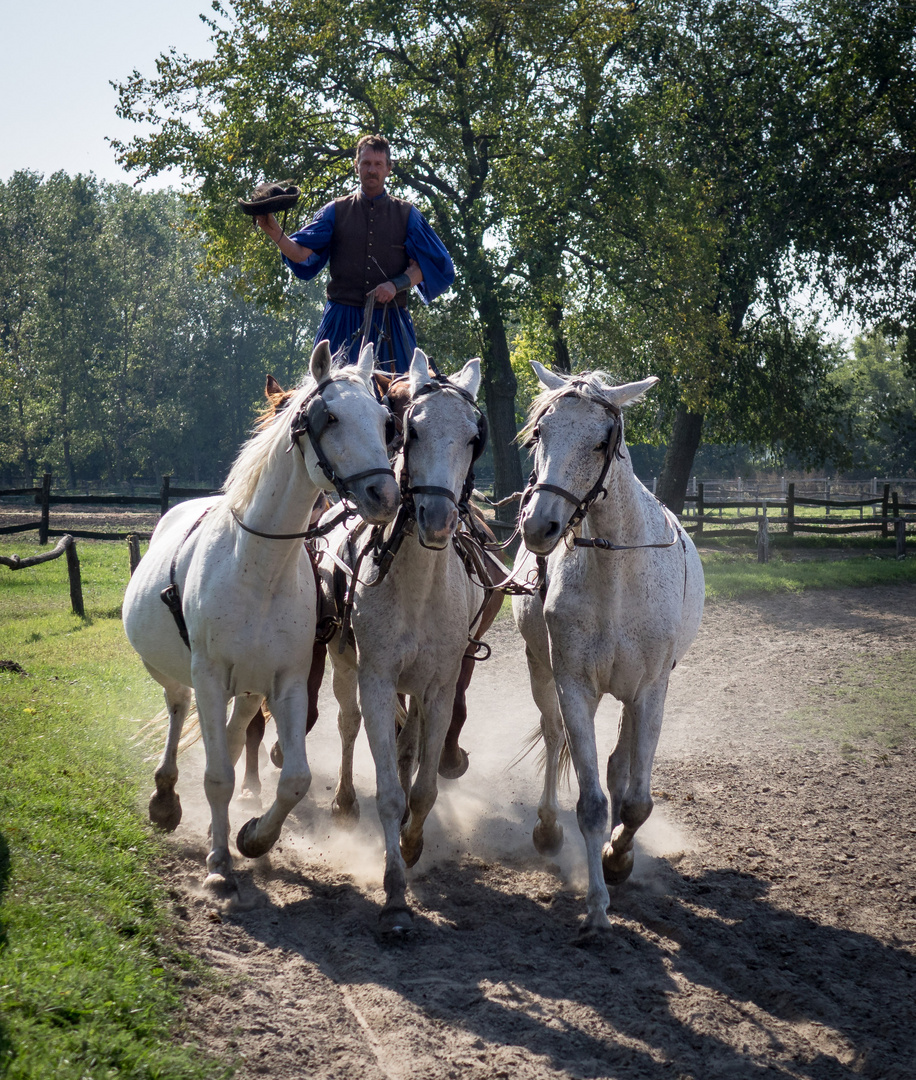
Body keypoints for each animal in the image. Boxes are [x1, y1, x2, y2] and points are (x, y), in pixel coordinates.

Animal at [121, 341, 397, 889]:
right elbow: (217, 776)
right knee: (179, 709)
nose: (386, 495)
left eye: (384, 420)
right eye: (330, 417)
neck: (258, 570)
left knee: (232, 735)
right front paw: (217, 865)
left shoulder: (287, 681)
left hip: (248, 688)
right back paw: (165, 799)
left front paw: (253, 838)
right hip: (177, 675)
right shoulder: (209, 676)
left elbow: (293, 779)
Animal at [319, 347, 490, 937]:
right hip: (344, 663)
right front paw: (394, 892)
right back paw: (346, 801)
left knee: (411, 744)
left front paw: (413, 846)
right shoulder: (376, 679)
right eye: (410, 430)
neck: (416, 589)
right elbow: (391, 793)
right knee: (348, 725)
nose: (436, 517)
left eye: (473, 438)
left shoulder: (438, 686)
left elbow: (423, 786)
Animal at [512, 365, 704, 937]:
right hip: (542, 673)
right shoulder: (574, 685)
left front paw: (619, 859)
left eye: (601, 442)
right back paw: (547, 830)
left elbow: (635, 799)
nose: (539, 526)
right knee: (555, 737)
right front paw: (597, 906)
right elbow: (593, 804)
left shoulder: (651, 690)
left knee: (620, 763)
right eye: (540, 434)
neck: (617, 575)